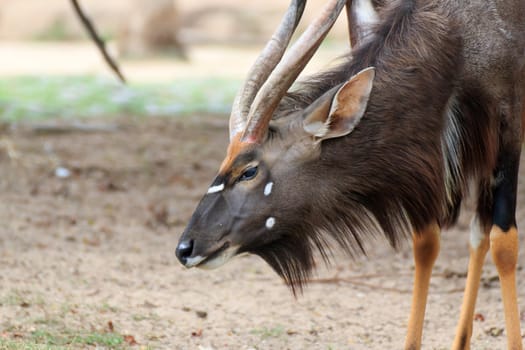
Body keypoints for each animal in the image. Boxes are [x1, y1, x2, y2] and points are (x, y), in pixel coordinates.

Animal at [177, 0, 524, 348]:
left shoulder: (508, 127)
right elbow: (427, 242)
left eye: (249, 170)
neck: (459, 34)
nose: (185, 248)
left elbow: (504, 243)